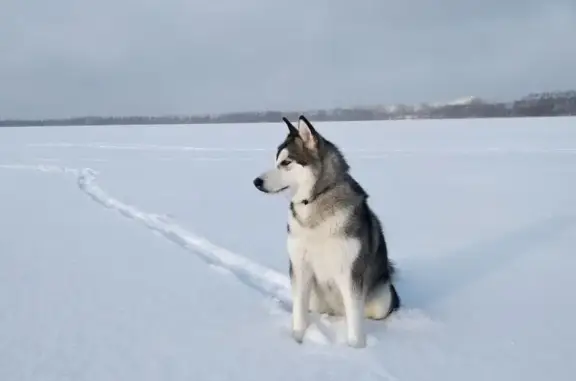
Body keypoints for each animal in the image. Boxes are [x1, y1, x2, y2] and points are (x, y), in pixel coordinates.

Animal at [254, 114, 398, 346]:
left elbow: (355, 321)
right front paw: (297, 339)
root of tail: (336, 312)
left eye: (286, 162)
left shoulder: (350, 271)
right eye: (276, 161)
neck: (316, 201)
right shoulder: (299, 267)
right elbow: (298, 311)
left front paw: (356, 348)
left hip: (381, 301)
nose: (256, 181)